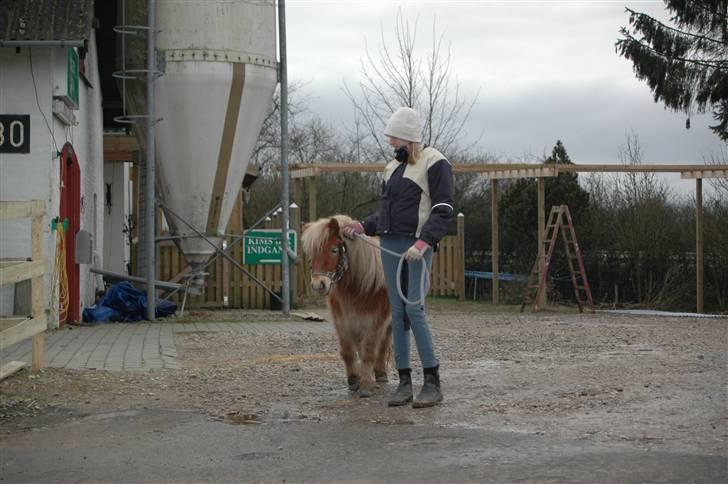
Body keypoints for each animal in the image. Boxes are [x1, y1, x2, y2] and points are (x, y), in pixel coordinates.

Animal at [300, 216, 392, 398]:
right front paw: (354, 380)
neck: (356, 286)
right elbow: (348, 352)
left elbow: (369, 352)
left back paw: (380, 374)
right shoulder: (343, 322)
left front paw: (365, 385)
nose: (318, 285)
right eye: (312, 253)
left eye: (334, 250)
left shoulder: (373, 322)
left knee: (383, 344)